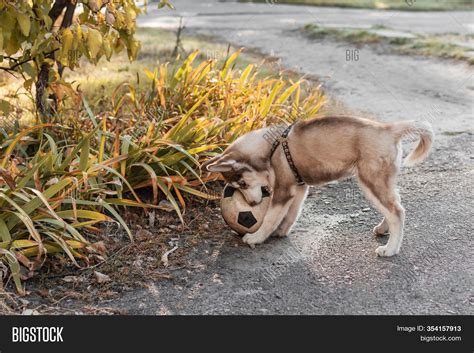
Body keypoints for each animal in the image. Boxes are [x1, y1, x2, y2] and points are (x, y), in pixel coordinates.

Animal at [204, 115, 434, 256]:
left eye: (242, 183)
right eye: (237, 186)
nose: (252, 204)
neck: (271, 147)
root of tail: (388, 129)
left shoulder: (284, 190)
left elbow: (269, 217)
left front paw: (256, 237)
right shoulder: (298, 188)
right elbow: (291, 214)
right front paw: (281, 231)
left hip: (371, 181)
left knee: (397, 211)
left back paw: (390, 249)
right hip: (382, 181)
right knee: (395, 203)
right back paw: (383, 229)